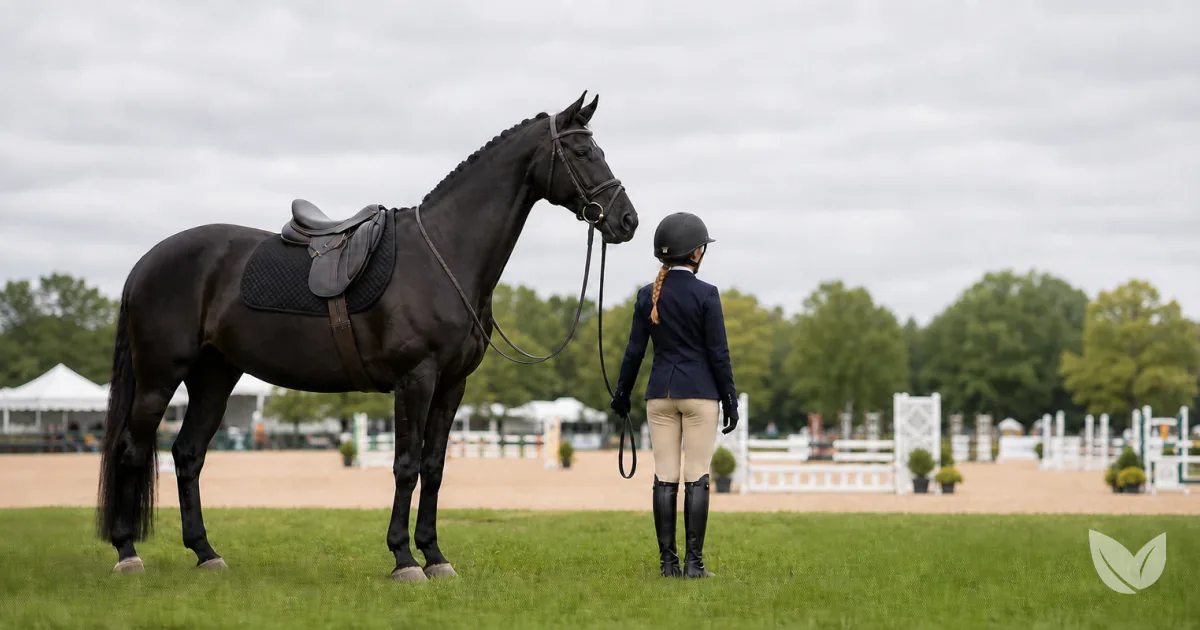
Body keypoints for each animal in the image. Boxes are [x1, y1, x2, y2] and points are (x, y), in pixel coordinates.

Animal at [95, 92, 639, 580]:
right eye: (582, 153)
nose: (627, 220)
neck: (444, 254)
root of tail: (146, 263)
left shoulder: (452, 385)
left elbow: (434, 467)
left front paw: (435, 555)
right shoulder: (415, 379)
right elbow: (405, 465)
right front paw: (404, 559)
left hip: (214, 378)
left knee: (187, 455)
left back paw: (206, 553)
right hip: (159, 378)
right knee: (132, 450)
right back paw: (127, 553)